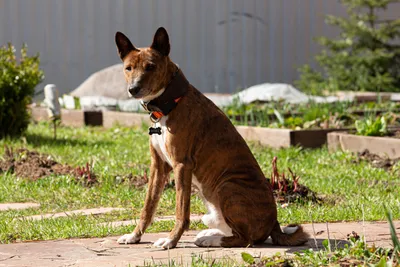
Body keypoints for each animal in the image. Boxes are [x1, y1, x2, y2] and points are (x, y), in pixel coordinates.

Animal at [115, 26, 310, 249]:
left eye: (150, 67)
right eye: (128, 68)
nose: (133, 89)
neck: (169, 104)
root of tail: (274, 223)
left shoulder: (181, 165)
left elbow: (181, 212)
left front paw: (171, 240)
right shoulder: (158, 167)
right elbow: (148, 208)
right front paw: (134, 236)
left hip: (227, 186)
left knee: (245, 239)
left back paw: (212, 239)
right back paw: (209, 235)